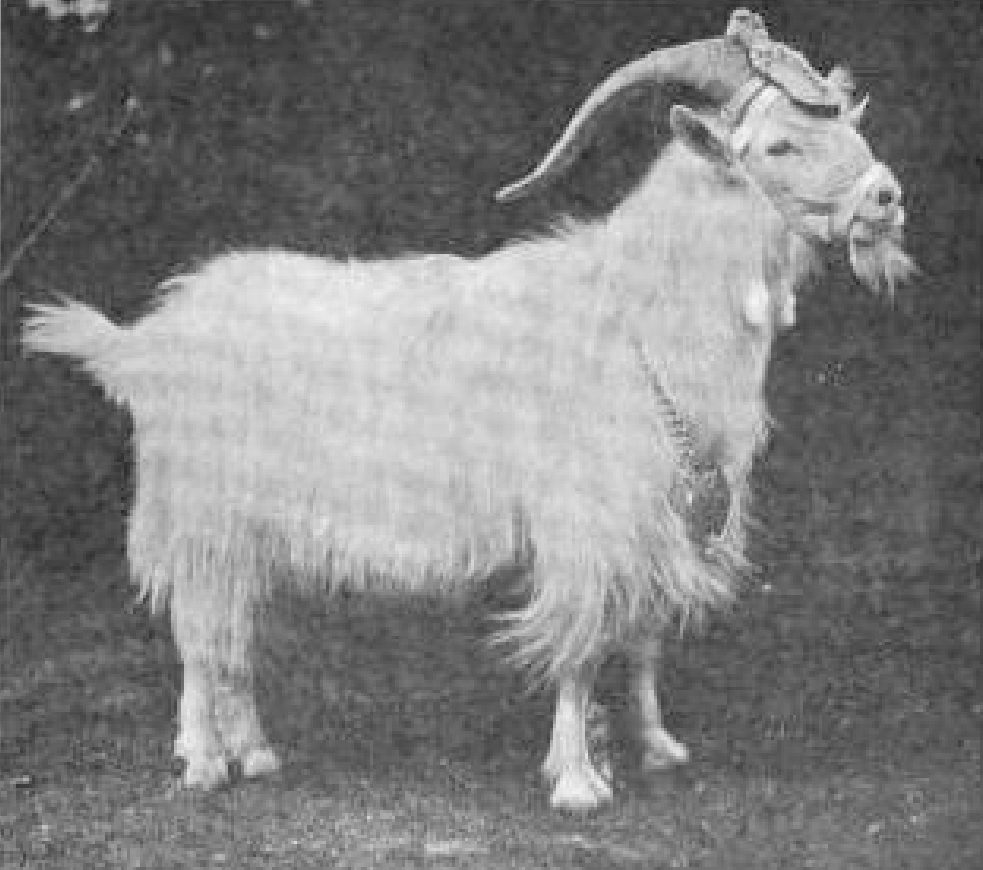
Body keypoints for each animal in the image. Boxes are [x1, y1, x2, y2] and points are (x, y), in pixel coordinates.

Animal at [23, 8, 916, 812]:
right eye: (778, 145)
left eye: (847, 124)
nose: (885, 197)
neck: (635, 309)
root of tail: (151, 336)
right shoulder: (585, 523)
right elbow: (581, 649)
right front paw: (578, 782)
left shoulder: (661, 515)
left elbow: (642, 640)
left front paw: (656, 746)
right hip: (202, 510)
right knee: (199, 634)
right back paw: (205, 760)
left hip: (245, 525)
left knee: (230, 634)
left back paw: (255, 751)